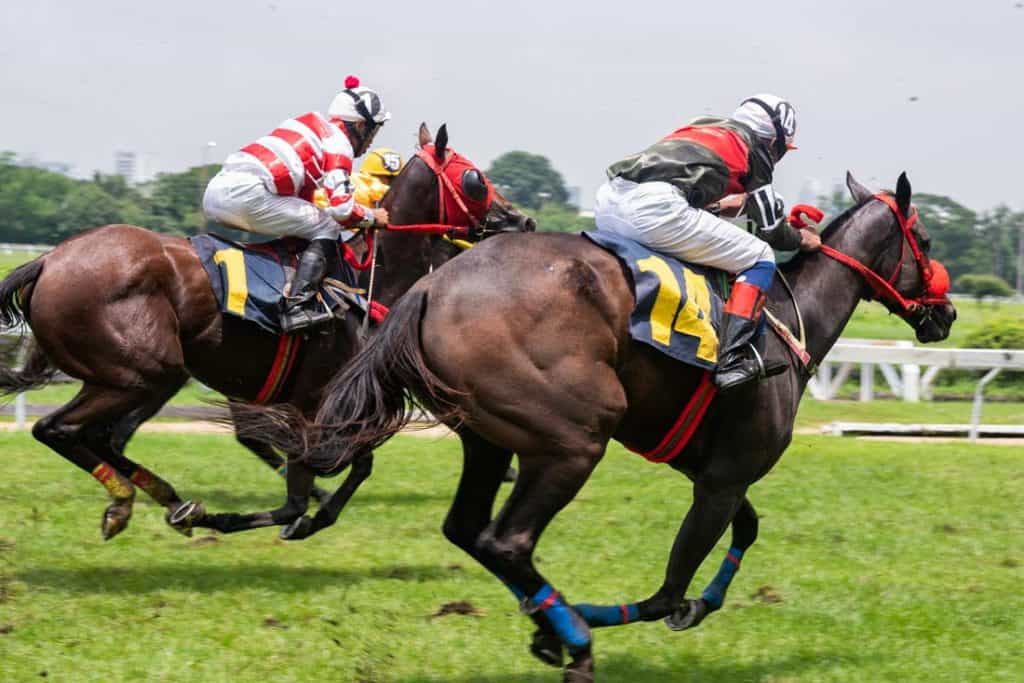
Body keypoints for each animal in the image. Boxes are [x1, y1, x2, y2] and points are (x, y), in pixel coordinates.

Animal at [0, 124, 532, 544]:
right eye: (475, 177)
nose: (521, 220)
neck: (364, 278)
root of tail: (48, 260)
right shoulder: (317, 402)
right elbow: (328, 473)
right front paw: (288, 516)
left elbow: (347, 467)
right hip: (142, 372)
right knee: (60, 429)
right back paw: (129, 502)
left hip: (138, 375)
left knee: (103, 435)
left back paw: (172, 503)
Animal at [235, 172, 954, 679]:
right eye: (924, 240)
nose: (944, 314)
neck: (786, 315)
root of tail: (431, 288)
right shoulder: (723, 477)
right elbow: (669, 589)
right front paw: (613, 617)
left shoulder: (709, 469)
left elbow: (744, 530)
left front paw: (675, 607)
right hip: (573, 437)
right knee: (507, 539)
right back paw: (573, 637)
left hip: (489, 438)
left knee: (467, 529)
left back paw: (553, 621)